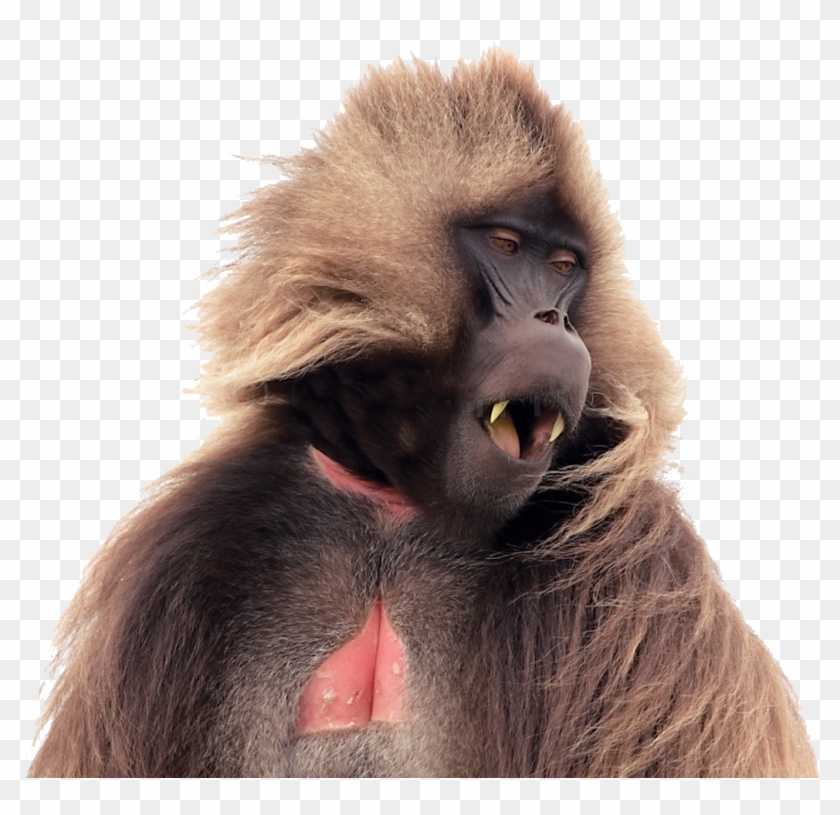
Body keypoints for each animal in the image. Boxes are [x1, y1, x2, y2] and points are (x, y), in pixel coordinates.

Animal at [29, 51, 817, 778]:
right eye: (507, 247)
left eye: (565, 267)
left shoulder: (639, 579)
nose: (555, 322)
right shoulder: (179, 561)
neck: (396, 506)